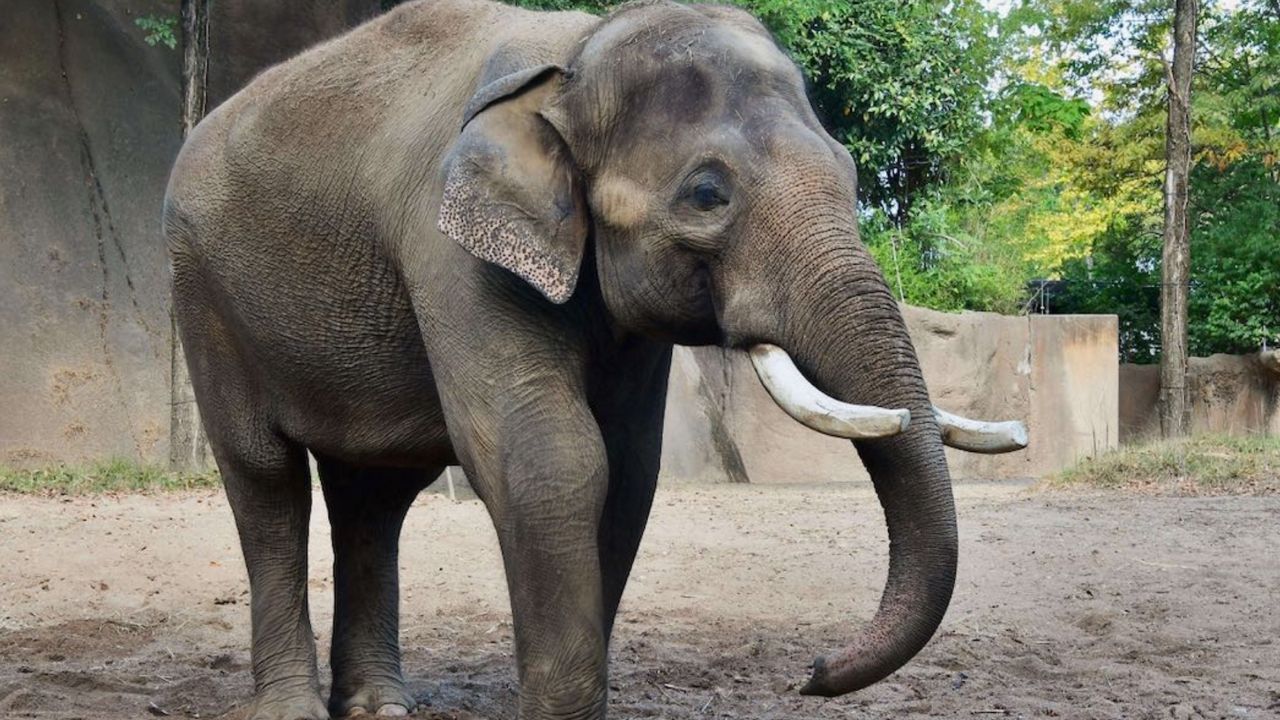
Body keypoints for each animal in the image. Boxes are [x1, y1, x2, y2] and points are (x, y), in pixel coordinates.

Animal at [162, 1, 1018, 717]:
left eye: (848, 173)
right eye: (707, 194)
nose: (811, 671)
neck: (575, 58)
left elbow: (629, 467)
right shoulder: (450, 249)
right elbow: (554, 458)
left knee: (373, 496)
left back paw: (378, 710)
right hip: (200, 286)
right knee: (266, 479)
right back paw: (291, 710)